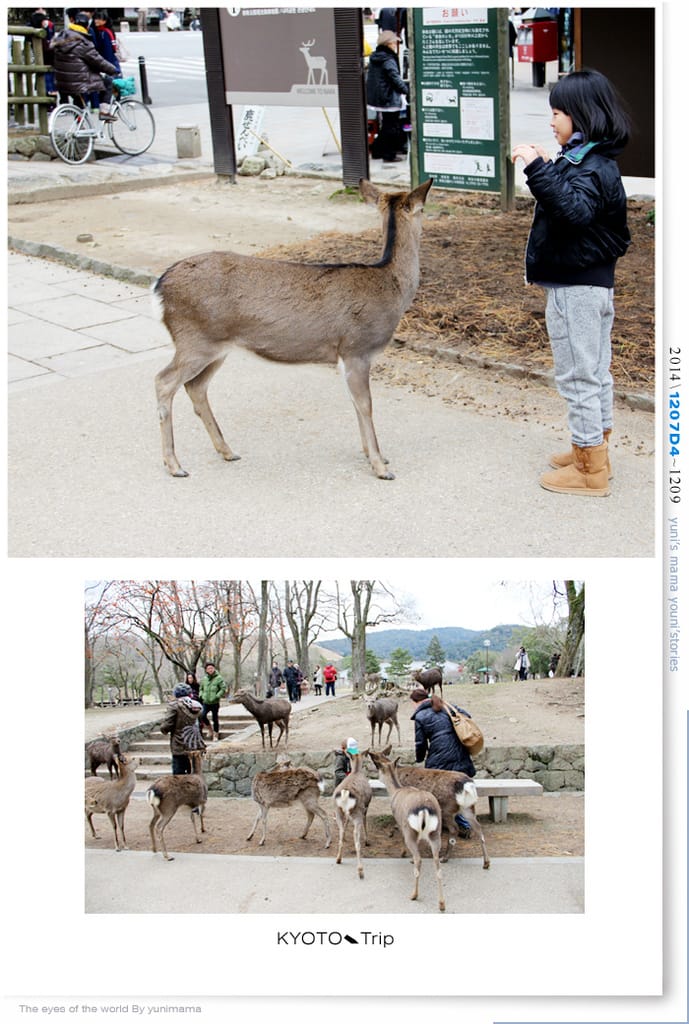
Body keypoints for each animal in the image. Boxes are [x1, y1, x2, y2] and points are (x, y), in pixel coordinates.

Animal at [153, 177, 433, 481]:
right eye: (423, 211)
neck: (391, 289)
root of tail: (160, 285)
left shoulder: (348, 357)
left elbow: (355, 403)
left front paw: (374, 455)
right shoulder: (356, 348)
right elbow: (366, 404)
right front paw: (381, 467)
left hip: (216, 346)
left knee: (195, 386)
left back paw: (227, 451)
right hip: (195, 340)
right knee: (163, 381)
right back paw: (174, 464)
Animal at [333, 751, 373, 879]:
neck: (356, 770)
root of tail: (345, 792)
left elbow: (346, 824)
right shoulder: (366, 806)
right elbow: (366, 822)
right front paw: (367, 841)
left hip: (338, 811)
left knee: (340, 833)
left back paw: (338, 859)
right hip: (357, 813)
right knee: (357, 841)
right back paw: (360, 870)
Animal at [367, 750, 446, 911]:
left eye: (377, 766)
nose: (369, 770)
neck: (395, 790)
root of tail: (425, 809)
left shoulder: (400, 821)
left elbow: (399, 834)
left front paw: (403, 853)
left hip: (411, 831)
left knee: (419, 859)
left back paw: (414, 895)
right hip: (436, 832)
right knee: (437, 863)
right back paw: (441, 903)